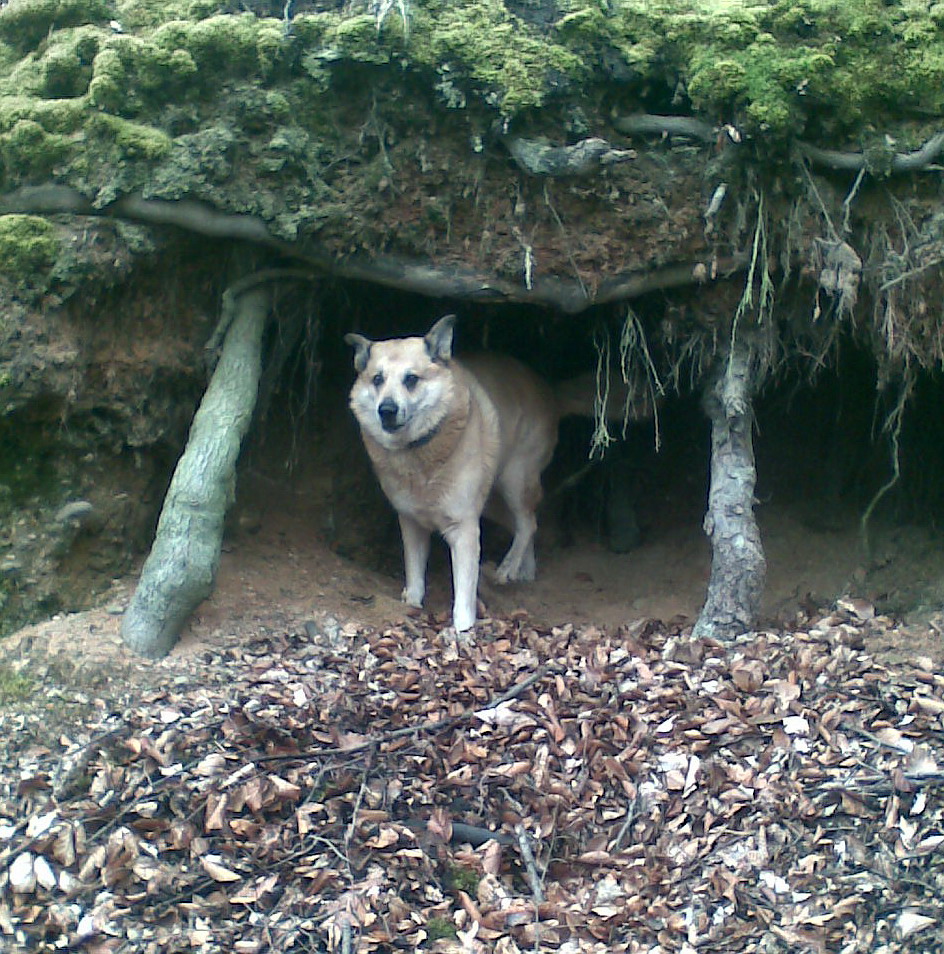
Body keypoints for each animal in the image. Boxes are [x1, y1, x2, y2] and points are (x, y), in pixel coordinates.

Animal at [344, 314, 560, 632]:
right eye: (377, 379)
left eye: (411, 379)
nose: (387, 409)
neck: (420, 454)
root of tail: (547, 389)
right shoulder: (411, 523)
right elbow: (415, 572)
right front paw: (412, 603)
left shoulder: (464, 528)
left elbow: (464, 591)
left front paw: (462, 629)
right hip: (494, 500)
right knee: (528, 524)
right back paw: (525, 569)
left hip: (515, 480)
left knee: (527, 523)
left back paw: (508, 567)